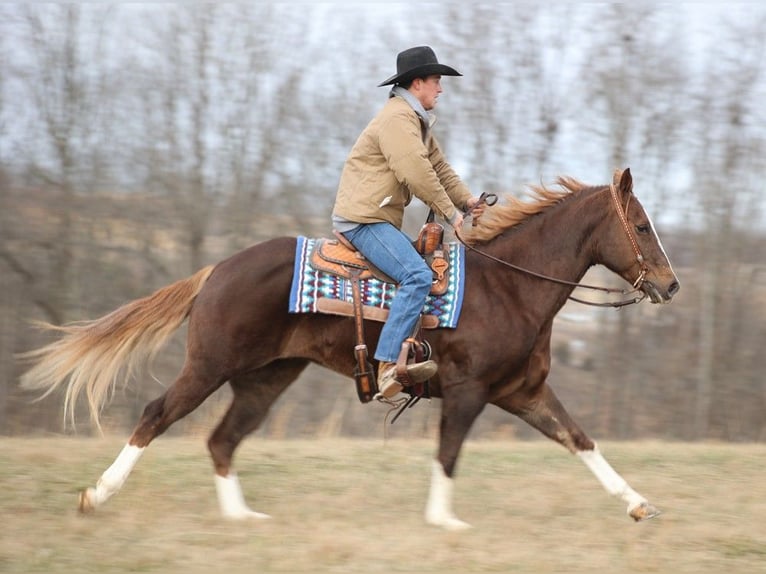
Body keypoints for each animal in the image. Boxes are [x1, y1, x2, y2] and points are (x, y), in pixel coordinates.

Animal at [22, 168, 684, 532]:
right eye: (641, 226)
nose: (671, 284)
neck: (509, 286)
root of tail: (216, 271)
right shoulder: (467, 392)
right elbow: (449, 453)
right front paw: (443, 519)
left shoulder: (524, 392)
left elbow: (580, 440)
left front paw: (639, 505)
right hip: (210, 367)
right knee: (157, 415)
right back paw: (97, 494)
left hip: (267, 378)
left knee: (222, 440)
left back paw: (240, 517)